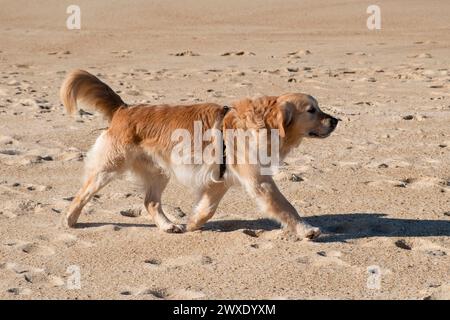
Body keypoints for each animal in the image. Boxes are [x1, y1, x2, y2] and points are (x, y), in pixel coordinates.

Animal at [61, 70, 340, 240]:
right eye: (312, 110)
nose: (336, 120)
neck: (262, 124)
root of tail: (124, 109)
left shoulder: (219, 182)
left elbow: (207, 210)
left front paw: (192, 224)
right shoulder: (259, 182)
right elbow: (287, 207)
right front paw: (306, 230)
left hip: (159, 172)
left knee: (150, 202)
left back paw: (168, 225)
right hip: (109, 168)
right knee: (83, 192)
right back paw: (70, 219)